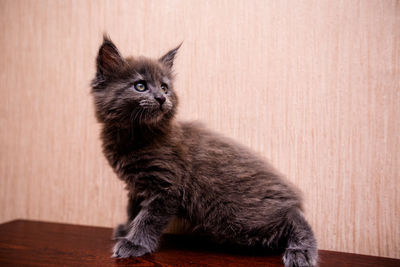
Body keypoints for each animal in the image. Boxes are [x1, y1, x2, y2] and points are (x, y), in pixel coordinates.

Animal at [91, 36, 318, 267]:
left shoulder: (166, 186)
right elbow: (134, 211)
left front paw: (134, 243)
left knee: (294, 217)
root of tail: (290, 193)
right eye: (140, 86)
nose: (161, 98)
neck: (135, 136)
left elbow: (148, 219)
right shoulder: (136, 186)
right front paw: (126, 230)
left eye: (164, 87)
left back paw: (301, 251)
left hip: (238, 220)